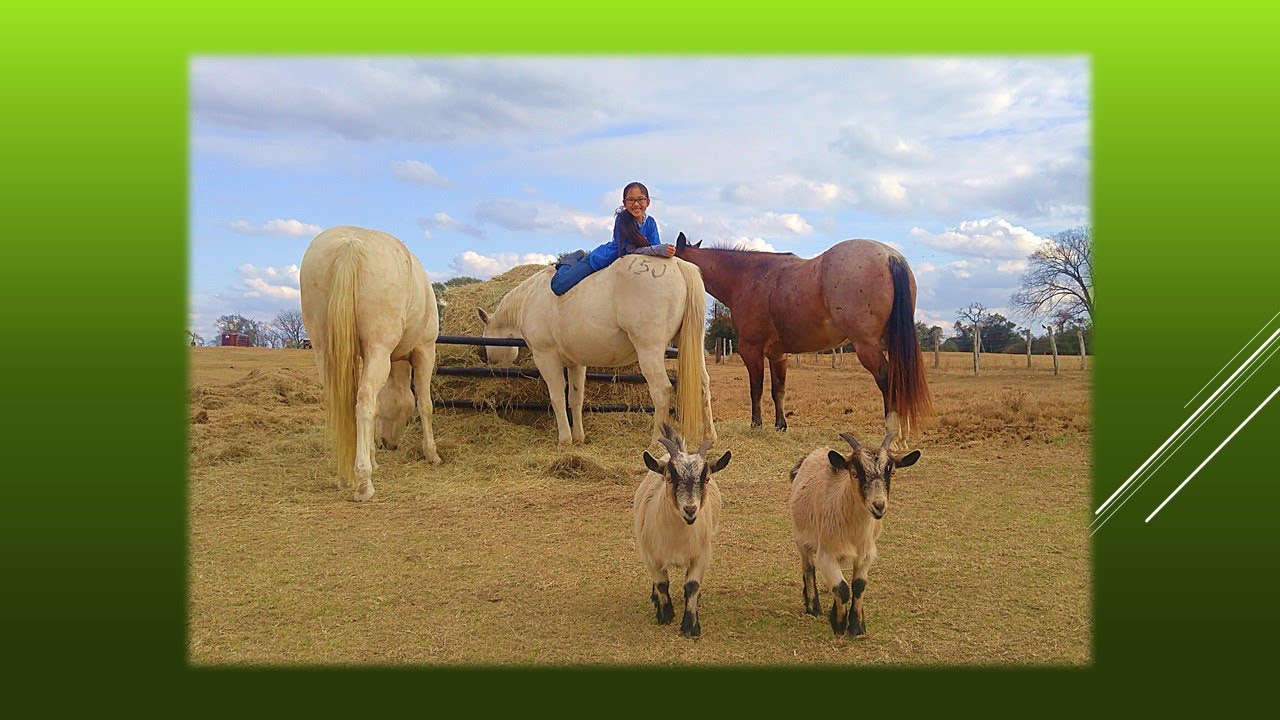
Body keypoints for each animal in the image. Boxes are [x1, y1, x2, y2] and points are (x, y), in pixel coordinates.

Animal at [300, 226, 443, 502]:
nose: (389, 444)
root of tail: (349, 245)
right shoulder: (424, 352)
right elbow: (425, 405)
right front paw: (432, 454)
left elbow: (376, 408)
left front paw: (374, 459)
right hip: (378, 350)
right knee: (364, 401)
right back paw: (363, 482)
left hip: (324, 352)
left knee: (345, 405)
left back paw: (346, 476)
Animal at [476, 255, 716, 447]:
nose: (489, 362)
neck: (530, 297)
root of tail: (677, 264)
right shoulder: (576, 364)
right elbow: (575, 399)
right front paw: (578, 438)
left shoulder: (546, 358)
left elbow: (557, 397)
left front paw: (564, 439)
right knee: (703, 382)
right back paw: (710, 437)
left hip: (650, 351)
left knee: (662, 391)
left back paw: (657, 441)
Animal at [674, 233, 931, 450]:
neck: (748, 277)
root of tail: (890, 256)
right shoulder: (778, 354)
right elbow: (778, 390)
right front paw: (780, 425)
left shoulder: (752, 350)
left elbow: (756, 389)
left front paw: (756, 425)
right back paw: (903, 436)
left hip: (867, 346)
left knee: (887, 379)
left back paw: (893, 437)